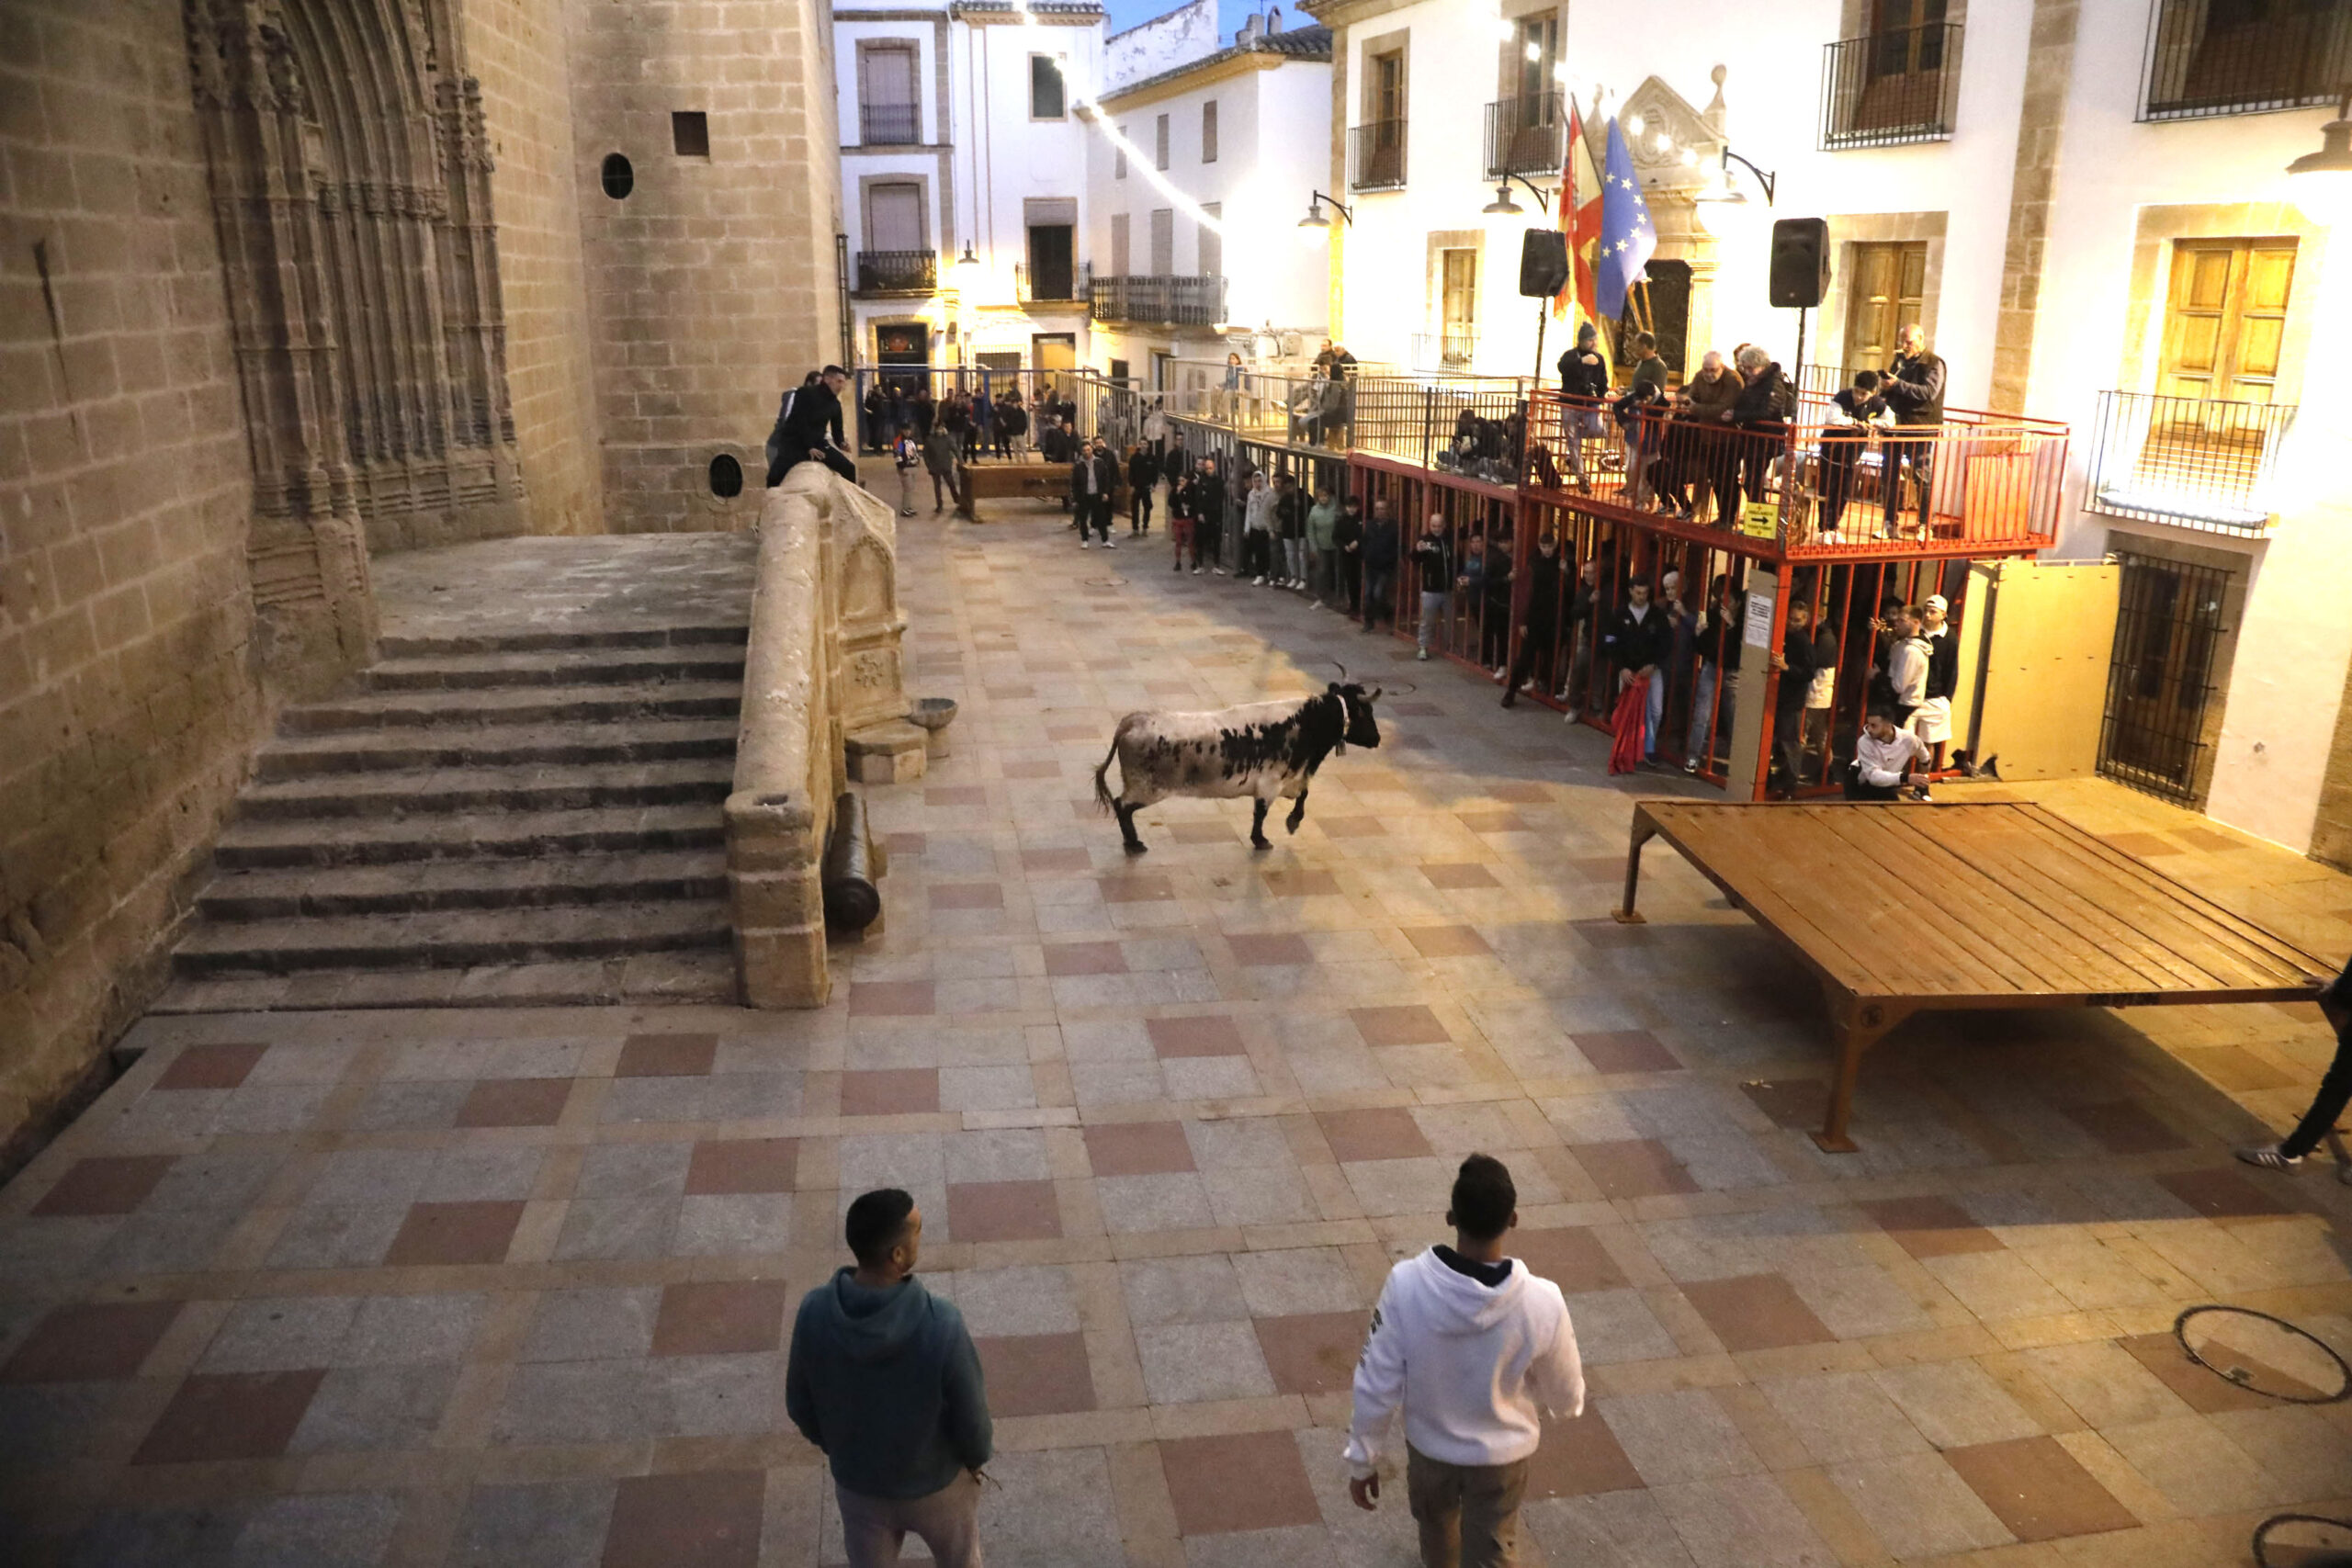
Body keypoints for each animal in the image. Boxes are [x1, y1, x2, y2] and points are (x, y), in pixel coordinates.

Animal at [1095, 682, 1383, 851]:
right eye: (1366, 713)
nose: (1377, 739)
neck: (1306, 723)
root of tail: (1132, 721)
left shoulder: (1291, 780)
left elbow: (1303, 794)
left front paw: (1292, 822)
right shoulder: (1270, 784)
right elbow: (1262, 813)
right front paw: (1263, 839)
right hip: (1147, 788)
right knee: (1122, 805)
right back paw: (1134, 843)